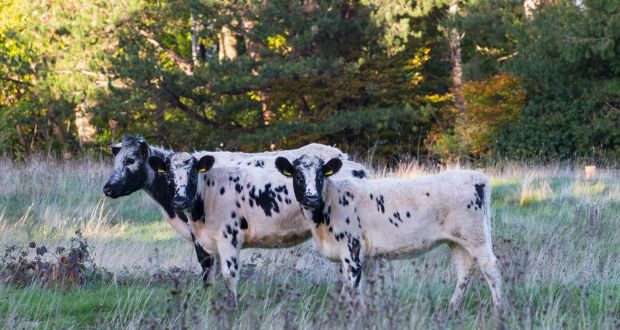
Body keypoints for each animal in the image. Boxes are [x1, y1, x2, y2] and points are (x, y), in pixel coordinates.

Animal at [147, 152, 368, 306]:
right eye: (169, 175)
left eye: (193, 174)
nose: (180, 201)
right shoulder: (205, 243)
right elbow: (209, 275)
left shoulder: (229, 237)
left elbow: (229, 275)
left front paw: (232, 307)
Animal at [274, 155, 504, 322]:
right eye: (297, 177)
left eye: (321, 176)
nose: (311, 197)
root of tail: (479, 178)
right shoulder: (365, 255)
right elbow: (359, 289)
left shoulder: (352, 251)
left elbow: (351, 290)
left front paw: (351, 318)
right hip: (457, 240)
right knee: (464, 271)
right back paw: (451, 310)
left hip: (476, 236)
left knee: (490, 268)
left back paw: (500, 310)